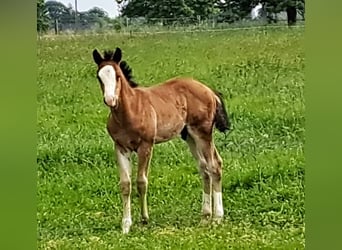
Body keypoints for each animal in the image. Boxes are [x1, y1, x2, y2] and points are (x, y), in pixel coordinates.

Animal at [91, 47, 230, 234]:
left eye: (118, 76)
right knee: (204, 167)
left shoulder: (146, 146)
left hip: (203, 133)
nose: (110, 100)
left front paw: (144, 219)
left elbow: (141, 181)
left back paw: (217, 218)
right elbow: (125, 184)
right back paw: (205, 216)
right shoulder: (120, 147)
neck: (130, 111)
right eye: (99, 77)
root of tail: (209, 90)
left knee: (215, 165)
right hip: (189, 136)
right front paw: (126, 225)